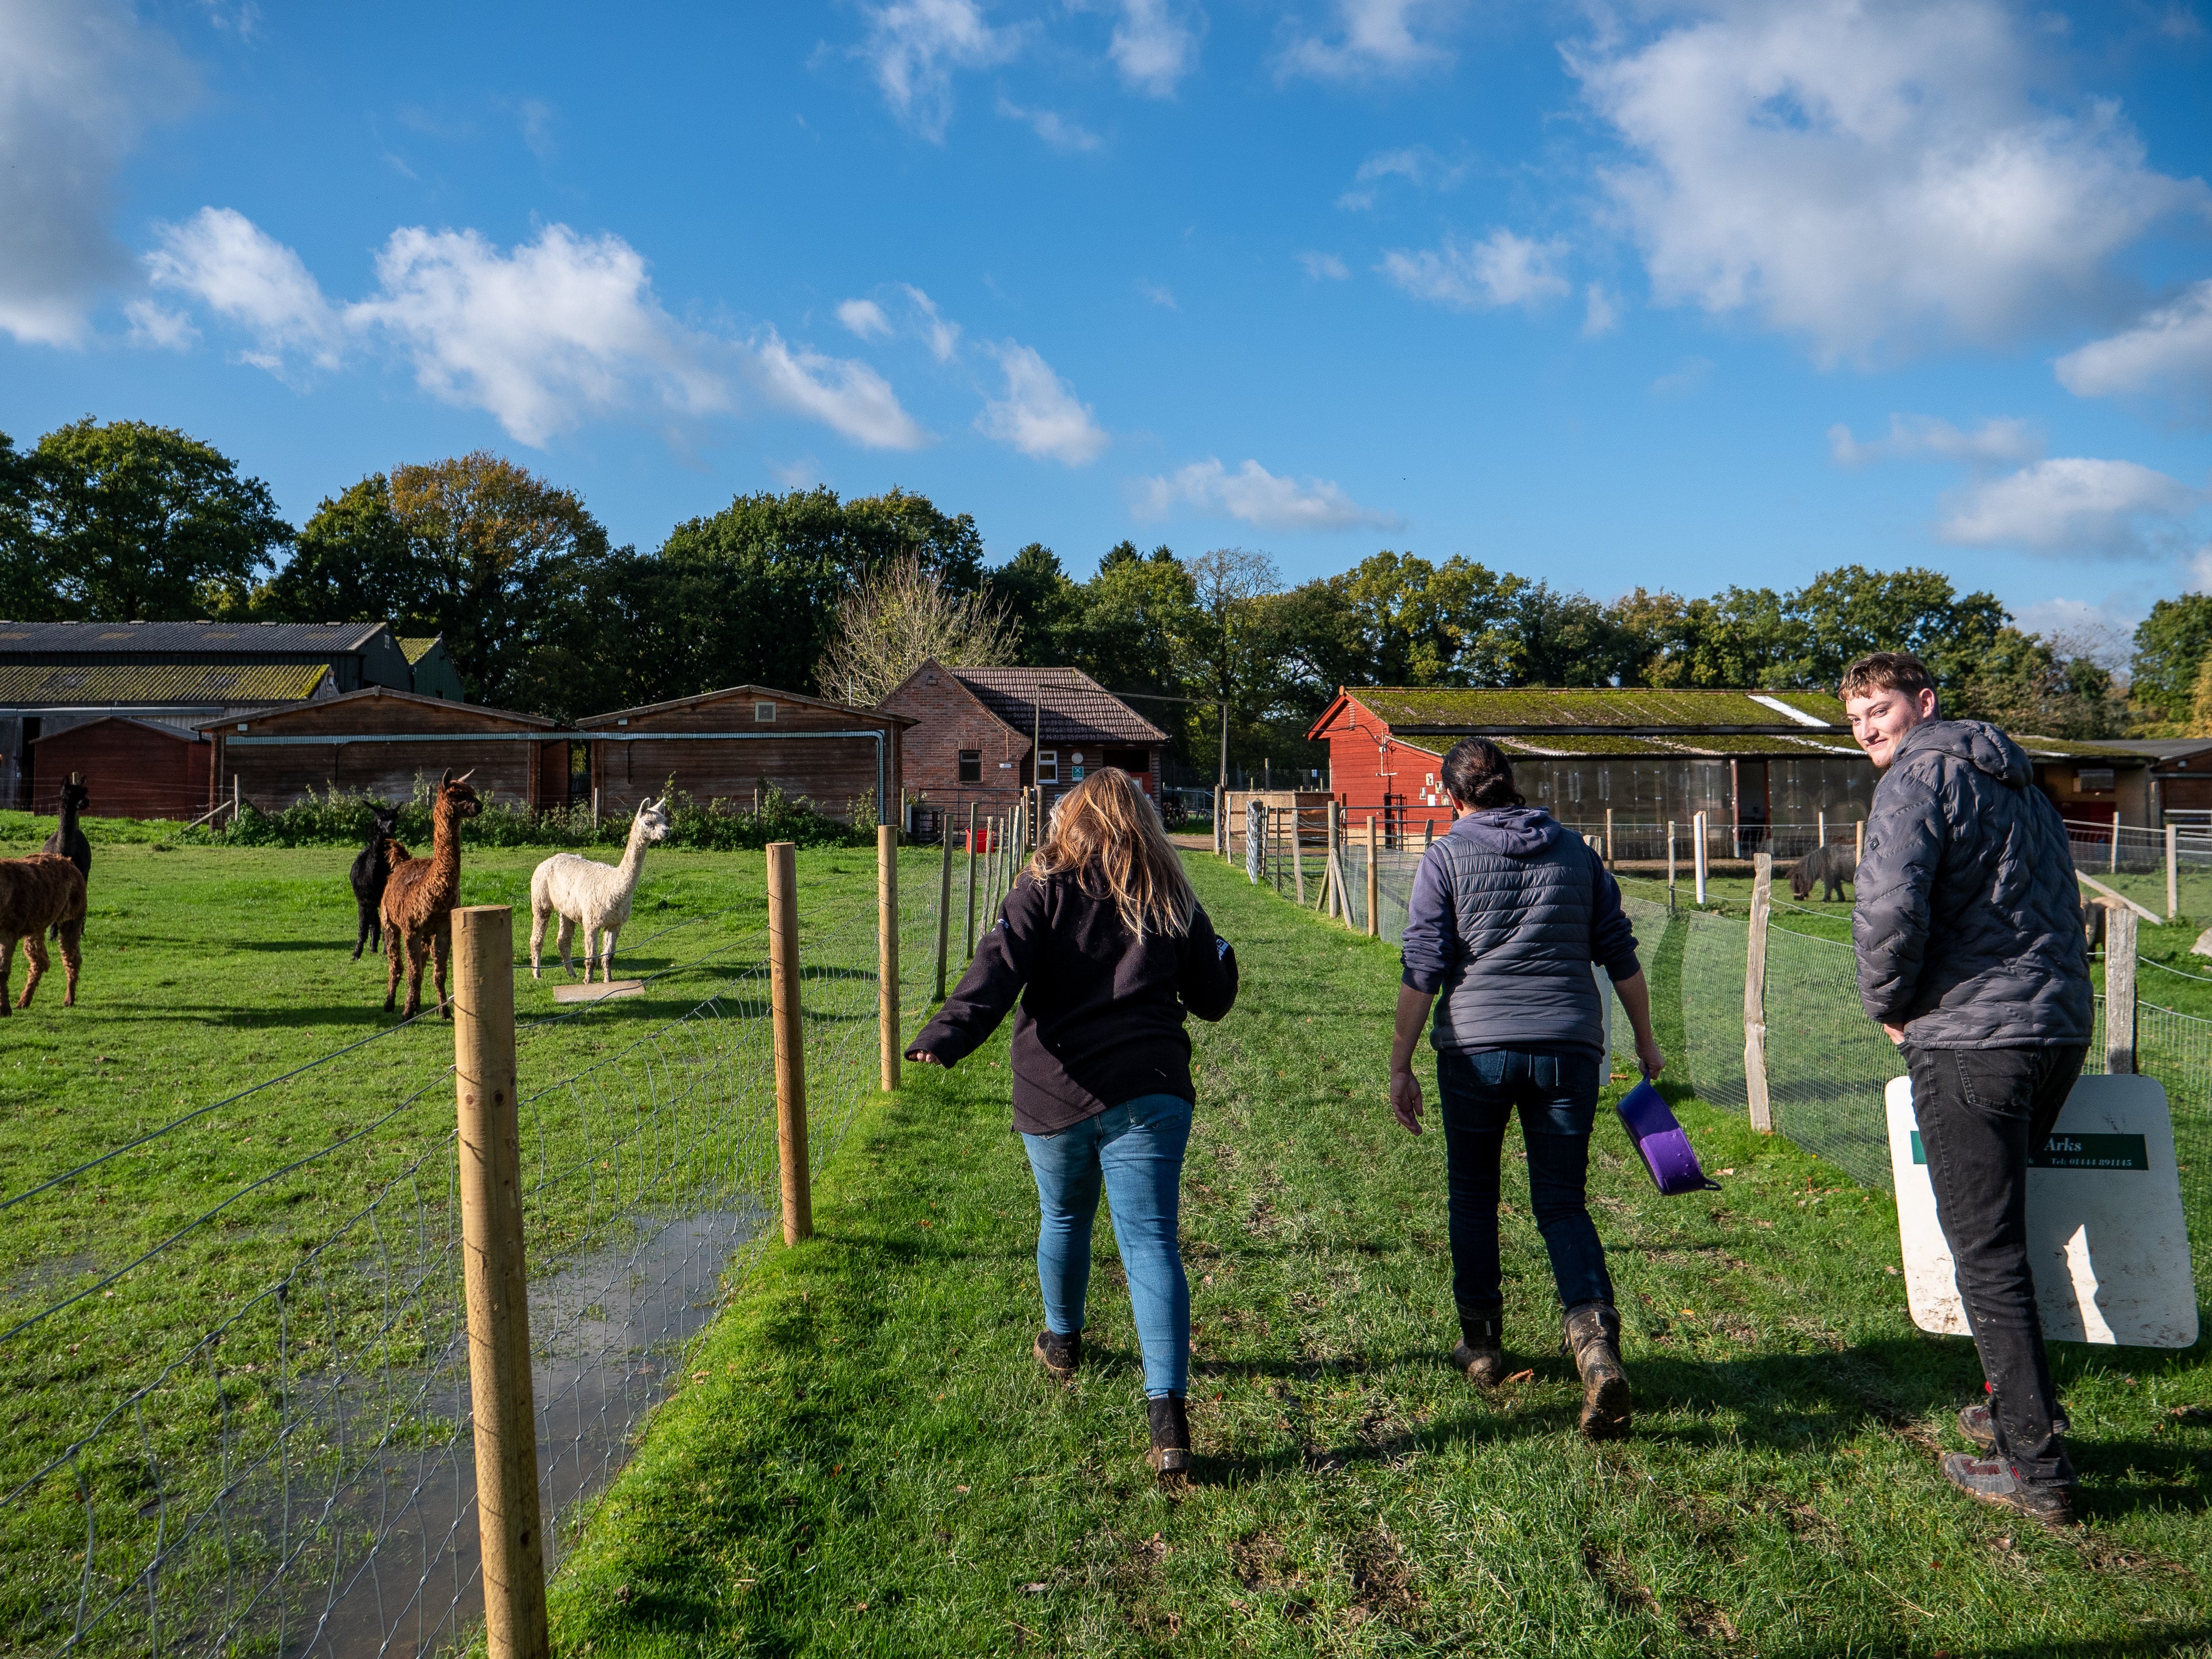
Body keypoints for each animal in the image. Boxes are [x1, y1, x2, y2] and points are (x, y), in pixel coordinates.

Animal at [0, 854, 86, 1012]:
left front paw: (5, 1010)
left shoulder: (9, 930)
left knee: (71, 956)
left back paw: (69, 1000)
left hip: (73, 914)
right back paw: (24, 1001)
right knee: (40, 961)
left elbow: (2, 970)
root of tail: (68, 860)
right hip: (37, 924)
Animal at [381, 770, 482, 1019]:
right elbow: (413, 972)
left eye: (474, 791)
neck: (435, 892)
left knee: (421, 960)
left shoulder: (444, 929)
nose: (479, 805)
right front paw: (406, 1012)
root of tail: (405, 861)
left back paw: (418, 1004)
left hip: (426, 933)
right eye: (457, 794)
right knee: (396, 965)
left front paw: (445, 1012)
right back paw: (390, 1003)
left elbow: (439, 974)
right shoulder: (411, 929)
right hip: (389, 921)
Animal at [529, 797, 671, 982]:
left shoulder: (615, 924)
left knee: (563, 940)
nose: (667, 831)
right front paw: (588, 981)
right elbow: (591, 958)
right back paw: (537, 974)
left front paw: (608, 981)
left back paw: (572, 973)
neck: (614, 886)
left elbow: (608, 957)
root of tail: (550, 859)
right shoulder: (592, 923)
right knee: (537, 938)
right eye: (649, 822)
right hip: (541, 899)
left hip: (567, 909)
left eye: (665, 820)